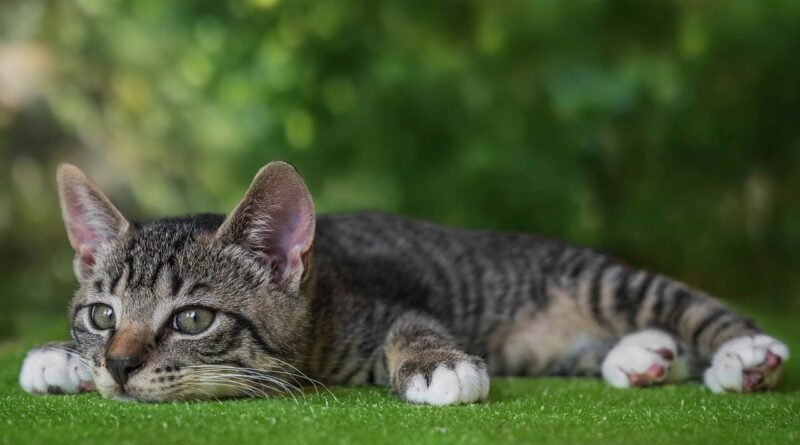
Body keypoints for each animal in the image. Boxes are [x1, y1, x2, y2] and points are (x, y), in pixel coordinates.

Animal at [17, 162, 788, 402]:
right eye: (102, 315)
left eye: (193, 319)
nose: (118, 366)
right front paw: (59, 356)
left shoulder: (387, 302)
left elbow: (415, 323)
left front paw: (435, 362)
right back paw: (645, 356)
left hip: (603, 282)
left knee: (684, 303)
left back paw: (742, 354)